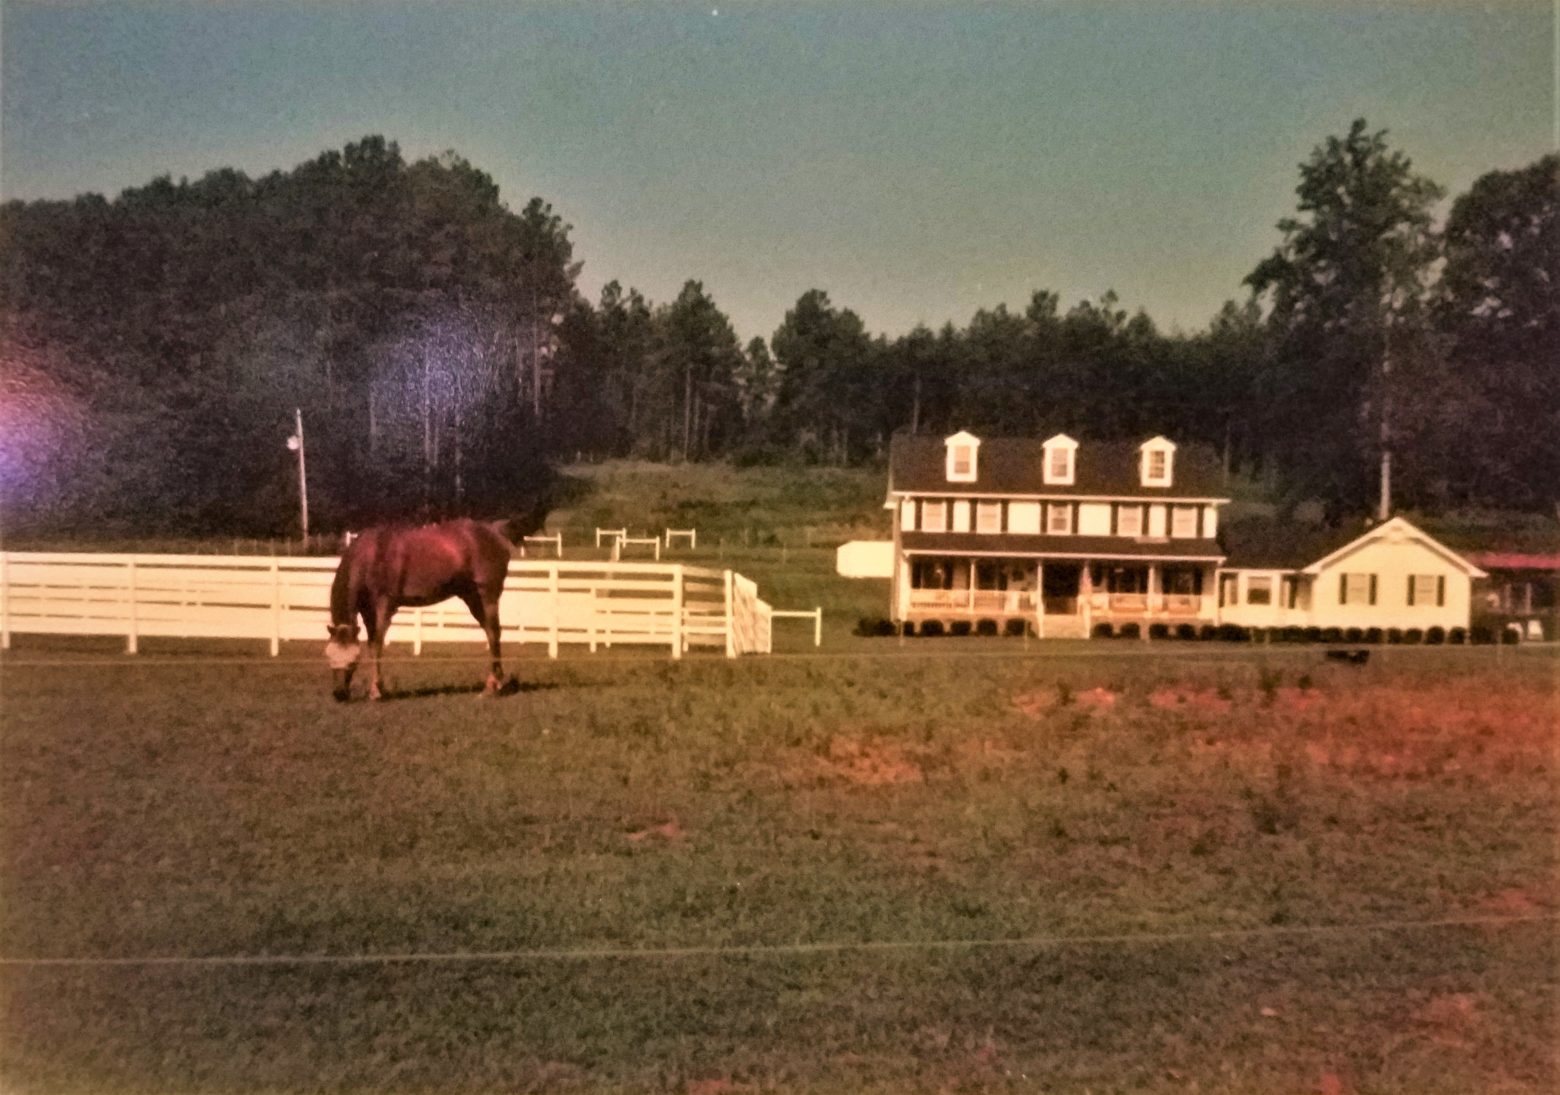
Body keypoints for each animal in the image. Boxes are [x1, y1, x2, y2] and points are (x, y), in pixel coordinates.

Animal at [322, 511, 549, 705]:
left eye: (353, 660)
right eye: (329, 656)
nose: (339, 694)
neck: (370, 555)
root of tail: (494, 530)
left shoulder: (384, 605)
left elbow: (377, 645)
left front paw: (377, 692)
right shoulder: (367, 611)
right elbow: (371, 645)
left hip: (488, 595)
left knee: (494, 633)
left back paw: (494, 686)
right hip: (472, 597)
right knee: (489, 631)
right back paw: (491, 685)